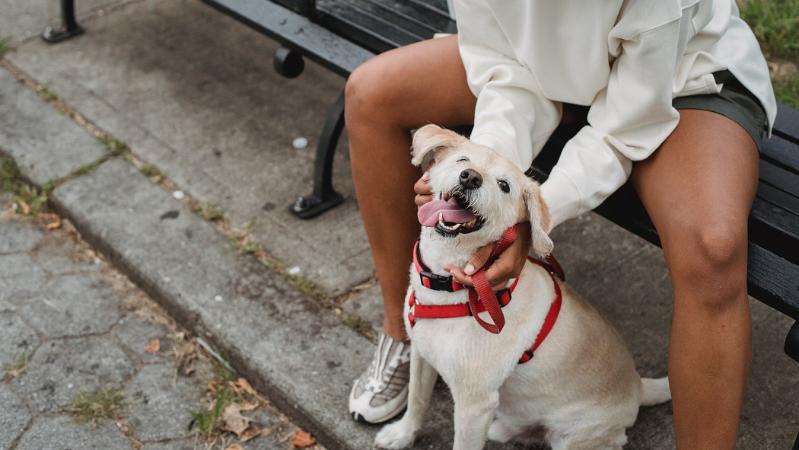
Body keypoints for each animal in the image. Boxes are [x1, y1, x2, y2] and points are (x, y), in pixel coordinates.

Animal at [374, 124, 668, 450]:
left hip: (575, 438)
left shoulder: (474, 405)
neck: (449, 285)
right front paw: (402, 435)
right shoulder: (421, 357)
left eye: (504, 185)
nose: (470, 177)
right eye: (463, 160)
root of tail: (638, 386)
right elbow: (417, 401)